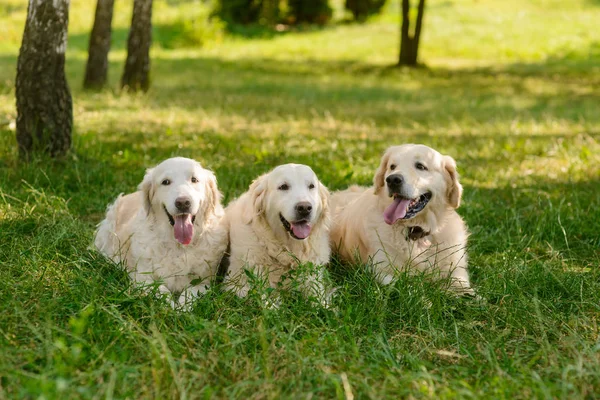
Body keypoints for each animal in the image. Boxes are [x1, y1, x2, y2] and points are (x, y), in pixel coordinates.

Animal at [95, 158, 229, 308]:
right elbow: (161, 290)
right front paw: (171, 307)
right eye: (165, 182)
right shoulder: (142, 278)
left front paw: (182, 307)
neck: (178, 246)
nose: (183, 202)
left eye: (194, 179)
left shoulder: (205, 280)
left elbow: (189, 292)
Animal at [328, 145, 474, 294]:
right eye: (392, 166)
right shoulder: (381, 270)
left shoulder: (457, 271)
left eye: (420, 166)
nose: (392, 180)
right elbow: (407, 286)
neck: (416, 231)